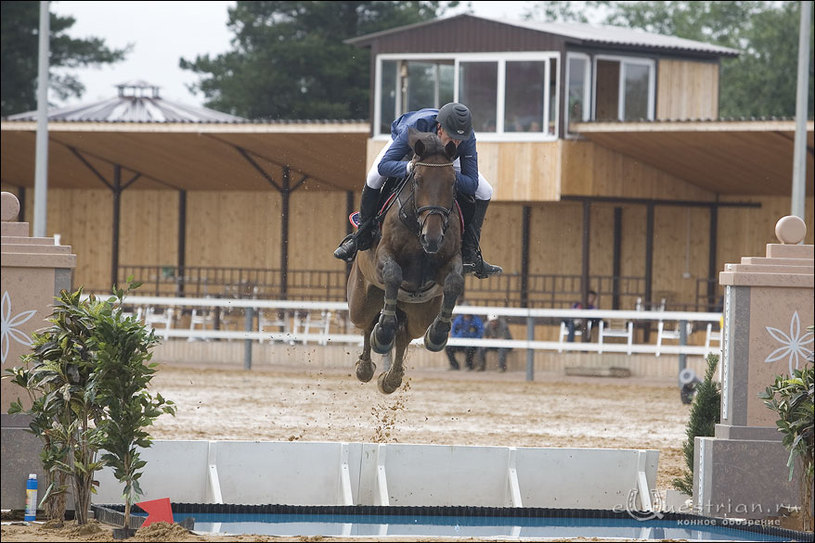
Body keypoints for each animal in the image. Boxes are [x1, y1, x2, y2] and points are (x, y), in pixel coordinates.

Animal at [348, 128, 466, 396]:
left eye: (452, 182)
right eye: (418, 180)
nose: (432, 238)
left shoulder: (449, 261)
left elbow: (454, 282)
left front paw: (438, 334)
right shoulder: (383, 257)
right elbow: (393, 275)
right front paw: (383, 333)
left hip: (421, 313)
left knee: (404, 336)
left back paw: (390, 379)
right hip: (360, 301)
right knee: (367, 324)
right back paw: (367, 364)